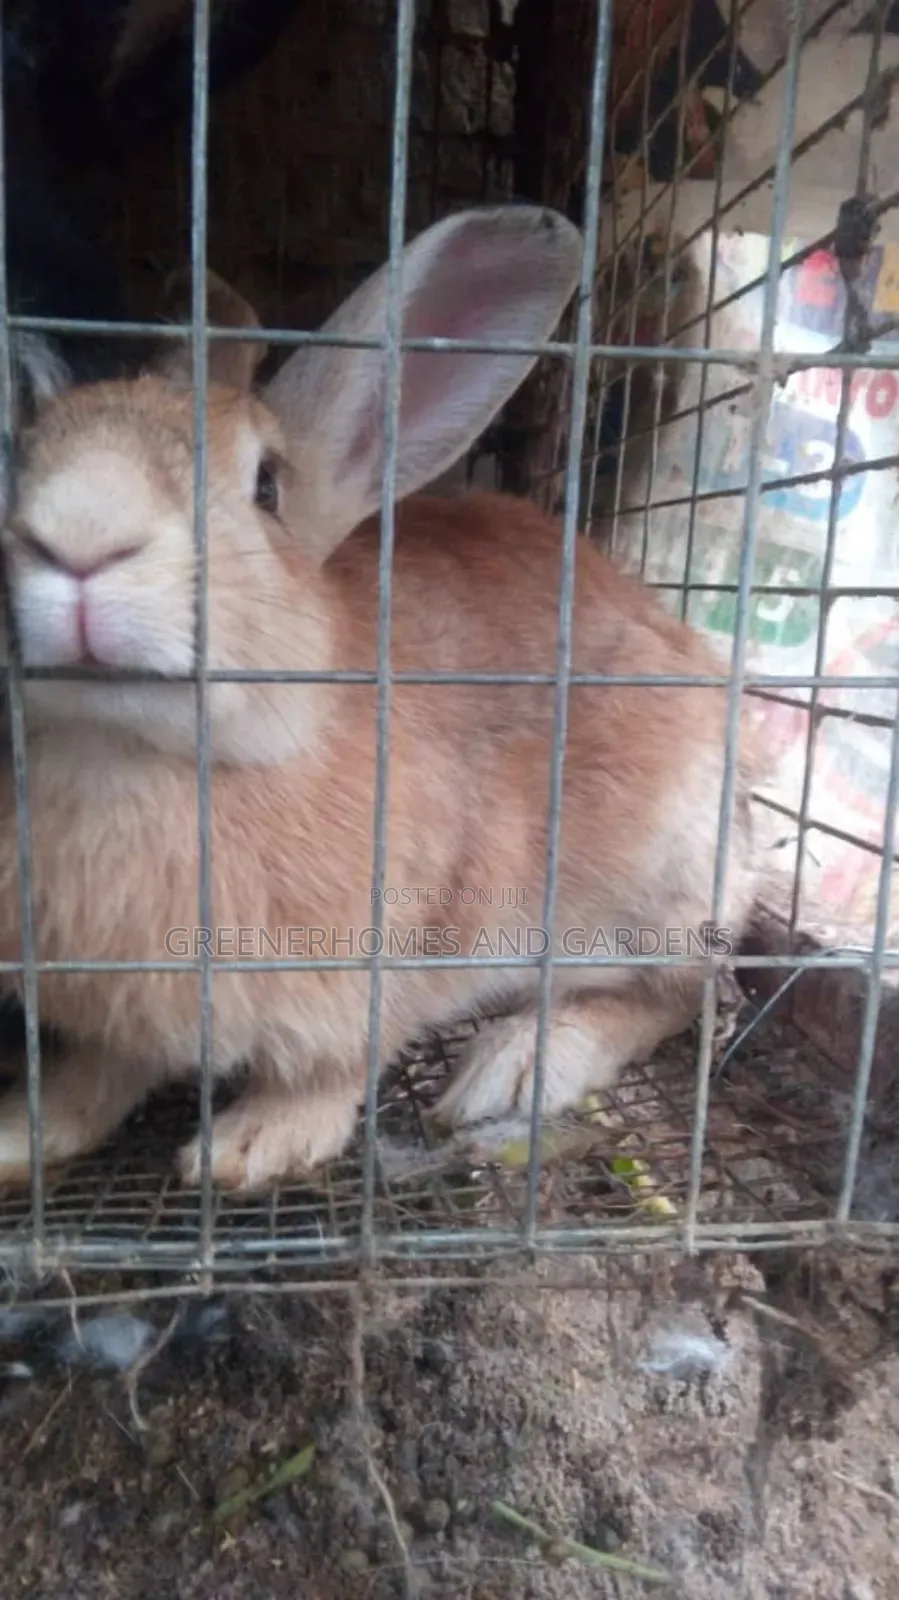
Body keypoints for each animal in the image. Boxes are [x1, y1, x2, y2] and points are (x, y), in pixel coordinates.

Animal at [0, 203, 762, 1194]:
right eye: (23, 458)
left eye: (266, 486)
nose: (78, 539)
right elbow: (98, 1073)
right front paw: (25, 1133)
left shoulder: (405, 953)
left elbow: (336, 1065)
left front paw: (254, 1146)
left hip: (663, 875)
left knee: (681, 996)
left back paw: (515, 1064)